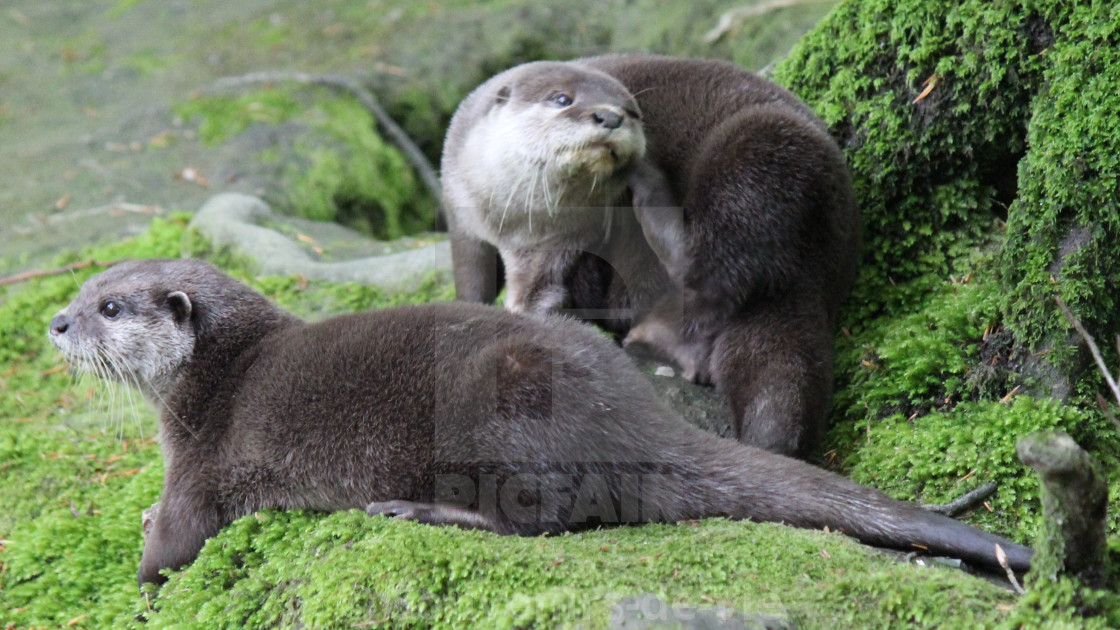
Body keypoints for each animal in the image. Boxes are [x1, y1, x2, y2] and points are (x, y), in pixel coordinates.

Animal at [52, 256, 1030, 582]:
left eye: (111, 307)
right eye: (81, 287)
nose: (55, 322)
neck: (221, 375)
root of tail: (636, 420)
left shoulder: (205, 454)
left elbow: (177, 538)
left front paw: (143, 577)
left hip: (500, 413)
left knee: (541, 521)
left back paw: (417, 509)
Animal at [441, 55, 860, 455]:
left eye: (632, 111)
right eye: (562, 99)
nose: (610, 116)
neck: (512, 223)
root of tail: (817, 267)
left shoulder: (563, 238)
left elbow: (541, 283)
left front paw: (529, 316)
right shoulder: (459, 207)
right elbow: (472, 273)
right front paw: (477, 310)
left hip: (761, 149)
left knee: (707, 267)